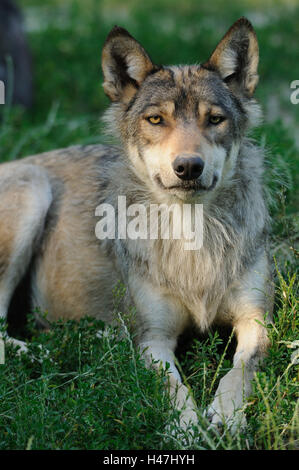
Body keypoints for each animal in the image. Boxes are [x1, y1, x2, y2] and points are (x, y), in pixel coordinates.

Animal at [0, 18, 274, 436]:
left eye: (215, 119)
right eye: (156, 120)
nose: (188, 166)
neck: (193, 238)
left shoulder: (256, 321)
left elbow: (242, 369)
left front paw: (226, 414)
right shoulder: (154, 338)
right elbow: (173, 386)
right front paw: (188, 428)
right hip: (33, 188)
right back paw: (50, 351)